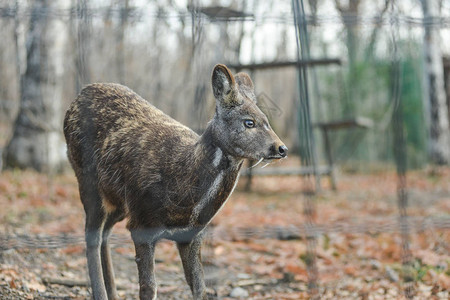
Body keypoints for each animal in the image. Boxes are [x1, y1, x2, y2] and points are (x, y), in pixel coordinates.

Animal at [63, 63, 288, 300]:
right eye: (249, 122)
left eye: (267, 121)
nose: (281, 148)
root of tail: (78, 97)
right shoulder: (141, 225)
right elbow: (149, 287)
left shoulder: (192, 234)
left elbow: (199, 286)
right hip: (87, 181)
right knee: (92, 237)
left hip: (118, 202)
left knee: (105, 233)